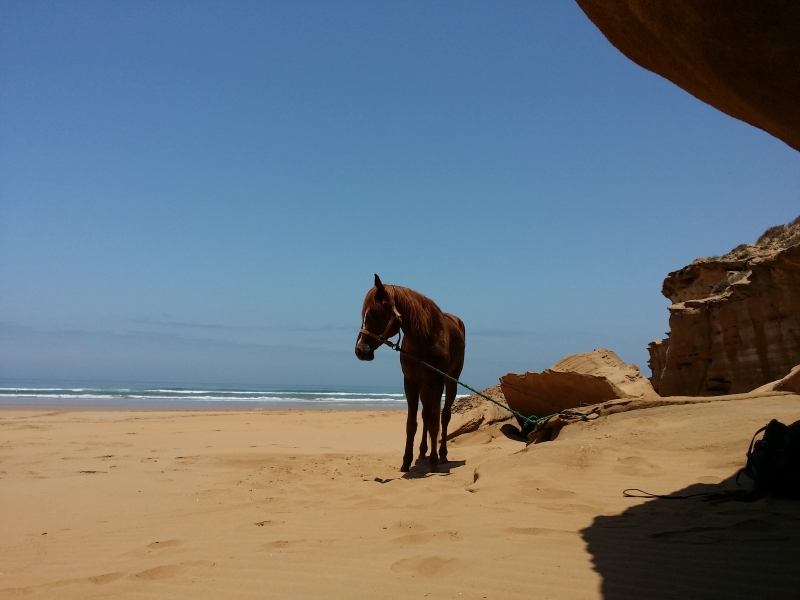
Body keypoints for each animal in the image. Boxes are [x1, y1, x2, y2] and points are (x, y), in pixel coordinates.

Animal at [354, 274, 466, 474]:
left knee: (444, 416)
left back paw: (442, 455)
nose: (360, 351)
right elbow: (412, 424)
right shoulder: (411, 383)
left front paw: (434, 462)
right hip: (424, 387)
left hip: (451, 381)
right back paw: (422, 453)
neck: (424, 338)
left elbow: (435, 421)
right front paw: (406, 462)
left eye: (374, 313)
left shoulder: (438, 382)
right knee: (426, 415)